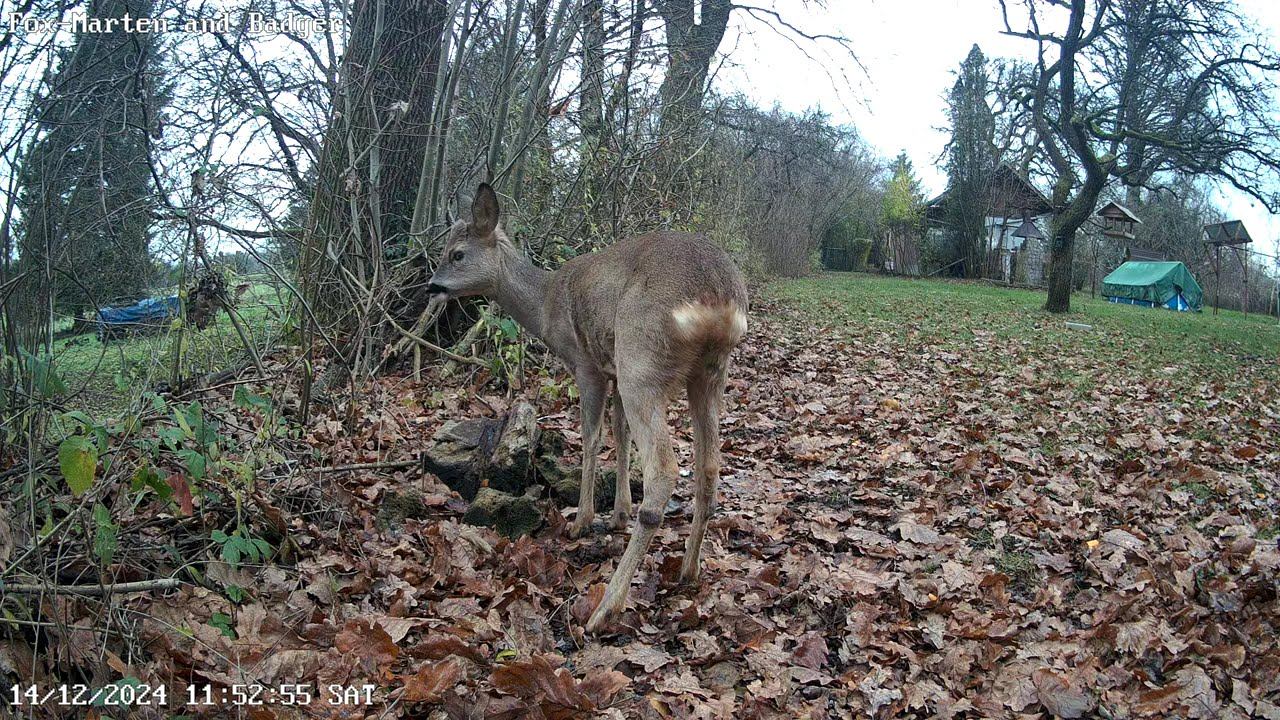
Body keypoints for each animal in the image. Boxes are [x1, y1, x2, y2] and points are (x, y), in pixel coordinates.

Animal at [430, 183, 747, 627]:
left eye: (457, 254)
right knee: (709, 465)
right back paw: (689, 570)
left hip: (641, 361)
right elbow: (620, 433)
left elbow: (592, 437)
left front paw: (581, 521)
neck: (545, 302)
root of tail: (717, 296)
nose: (431, 286)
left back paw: (606, 607)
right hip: (708, 373)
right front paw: (617, 514)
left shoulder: (586, 365)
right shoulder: (610, 367)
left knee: (665, 469)